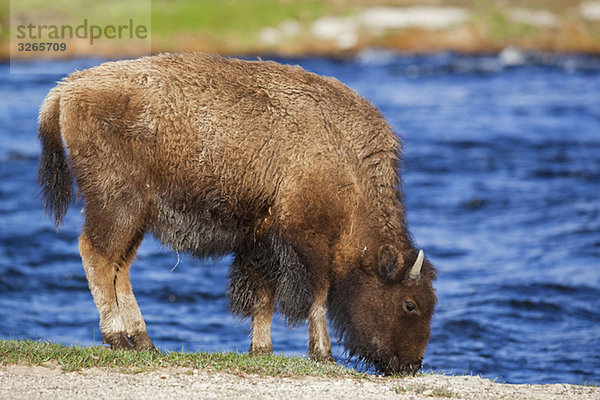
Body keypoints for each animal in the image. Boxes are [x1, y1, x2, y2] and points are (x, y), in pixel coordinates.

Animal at [39, 52, 438, 376]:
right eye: (409, 304)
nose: (411, 366)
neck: (349, 163)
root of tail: (68, 87)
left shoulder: (260, 242)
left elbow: (264, 297)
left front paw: (261, 350)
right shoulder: (306, 243)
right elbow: (316, 297)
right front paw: (323, 354)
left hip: (137, 217)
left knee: (120, 268)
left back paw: (145, 343)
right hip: (117, 205)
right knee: (97, 255)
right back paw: (119, 339)